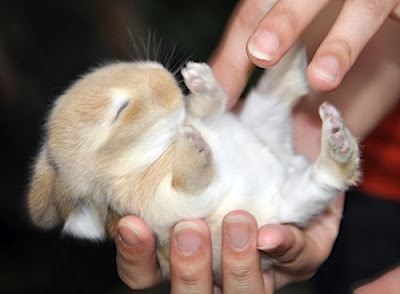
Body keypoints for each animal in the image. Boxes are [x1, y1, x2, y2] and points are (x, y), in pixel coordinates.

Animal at [27, 44, 360, 284]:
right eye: (120, 109)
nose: (162, 73)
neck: (161, 147)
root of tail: (286, 160)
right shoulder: (164, 207)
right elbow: (187, 188)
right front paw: (194, 147)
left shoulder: (202, 117)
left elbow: (209, 107)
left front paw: (198, 79)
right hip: (294, 200)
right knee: (329, 177)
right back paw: (336, 140)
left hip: (262, 122)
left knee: (273, 98)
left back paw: (288, 63)